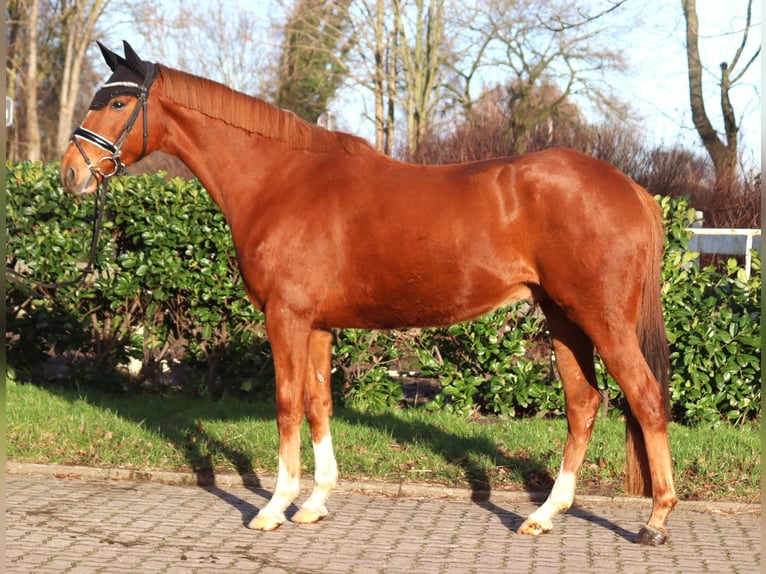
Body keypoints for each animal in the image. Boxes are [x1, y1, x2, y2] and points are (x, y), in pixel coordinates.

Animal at [61, 42, 680, 548]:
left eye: (119, 103)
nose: (71, 173)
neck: (280, 180)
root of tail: (633, 190)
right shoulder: (316, 325)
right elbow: (318, 404)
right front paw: (314, 503)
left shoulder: (286, 318)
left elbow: (286, 404)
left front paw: (274, 507)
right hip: (563, 319)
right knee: (584, 403)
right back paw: (545, 514)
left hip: (599, 319)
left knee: (646, 398)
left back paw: (654, 521)